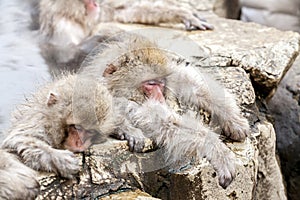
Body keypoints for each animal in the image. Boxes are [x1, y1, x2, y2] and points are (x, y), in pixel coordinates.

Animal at [80, 38, 251, 189]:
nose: (161, 97)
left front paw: (233, 118)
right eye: (150, 84)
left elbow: (187, 81)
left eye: (161, 83)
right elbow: (163, 123)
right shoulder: (123, 103)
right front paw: (219, 152)